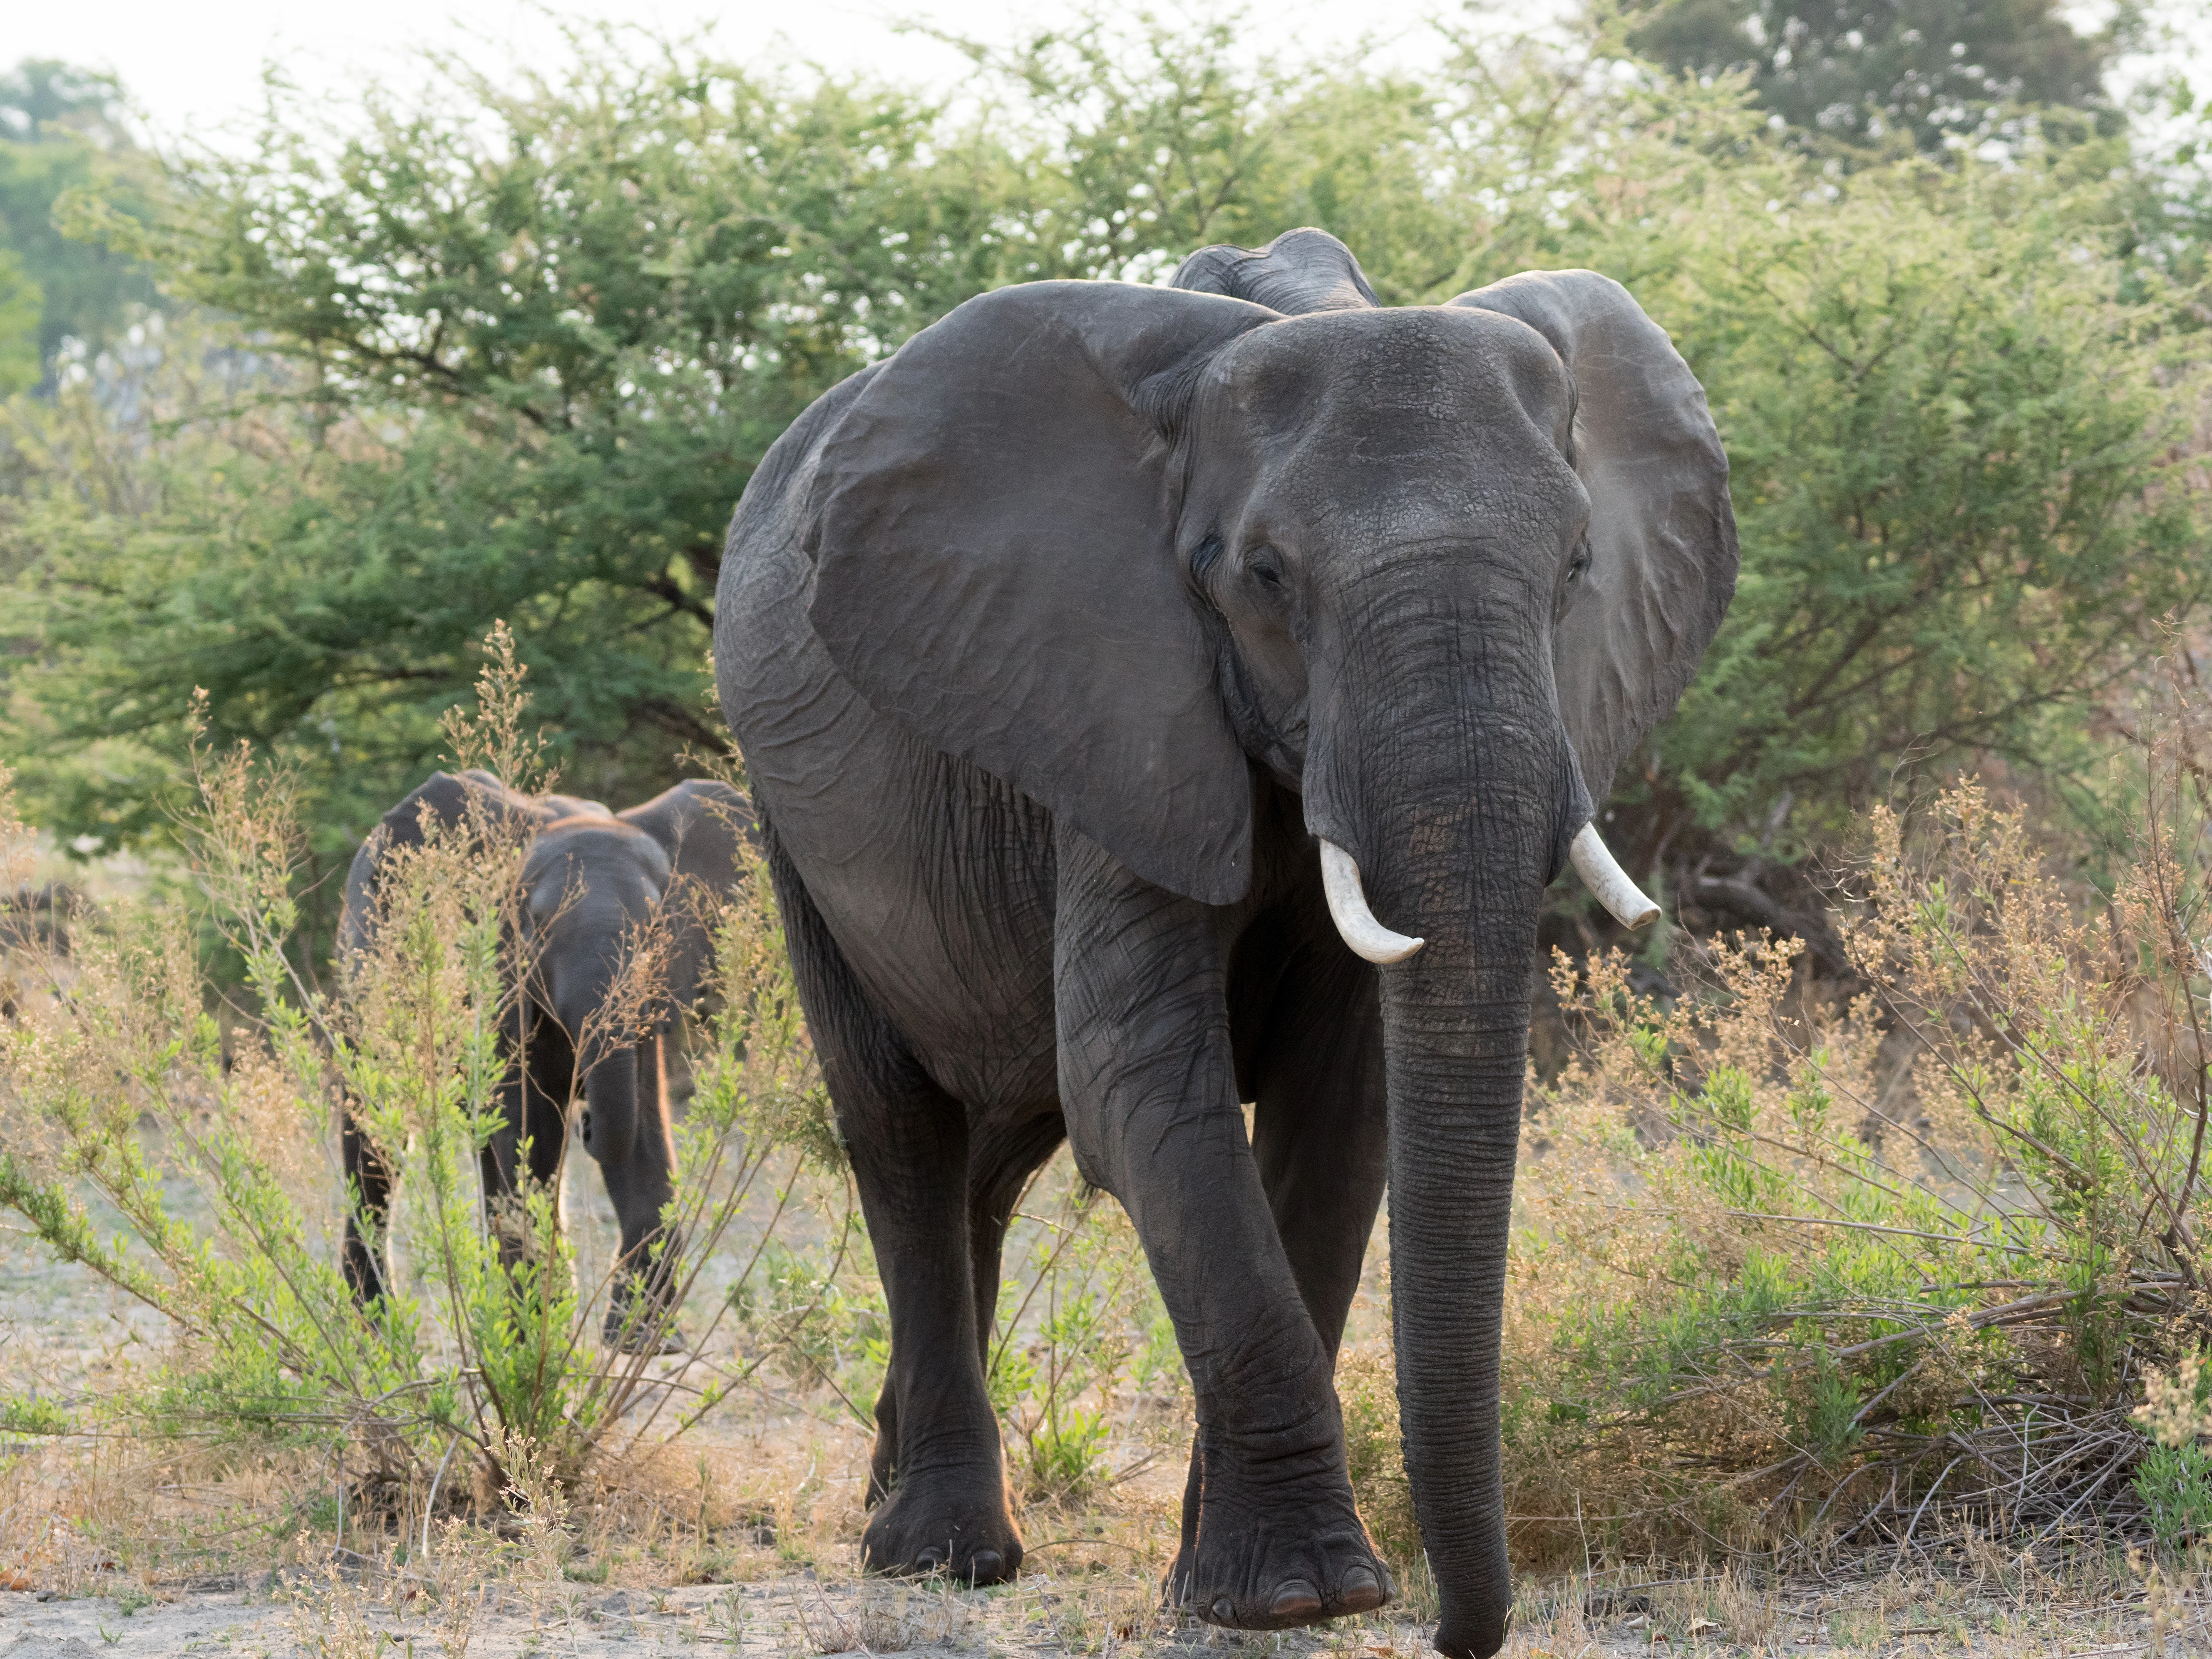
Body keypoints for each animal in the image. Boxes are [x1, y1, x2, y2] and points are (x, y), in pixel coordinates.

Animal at [337, 769, 753, 1349]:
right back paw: (376, 1333)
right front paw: (542, 1334)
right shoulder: (499, 988)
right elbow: (532, 1133)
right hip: (366, 976)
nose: (588, 1122)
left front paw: (641, 1342)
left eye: (657, 929)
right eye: (535, 927)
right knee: (376, 1137)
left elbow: (645, 1135)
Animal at [712, 227, 1735, 1656]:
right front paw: (1304, 1594)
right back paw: (942, 1556)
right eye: (1263, 577)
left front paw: (1239, 1584)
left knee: (986, 1165)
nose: (1457, 1630)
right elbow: (1141, 1086)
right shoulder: (1114, 699)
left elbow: (1341, 1106)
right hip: (789, 819)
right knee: (899, 1133)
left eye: (1578, 566)